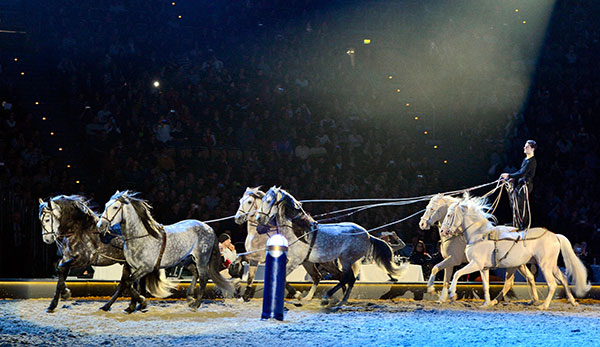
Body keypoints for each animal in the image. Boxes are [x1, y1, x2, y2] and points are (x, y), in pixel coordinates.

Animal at [97, 190, 233, 310]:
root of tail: (209, 228)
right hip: (186, 260)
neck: (141, 237)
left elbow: (128, 283)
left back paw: (196, 304)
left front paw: (141, 302)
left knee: (204, 278)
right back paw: (190, 298)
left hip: (201, 260)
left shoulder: (145, 268)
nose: (100, 226)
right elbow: (125, 285)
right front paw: (113, 306)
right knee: (195, 273)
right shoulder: (131, 267)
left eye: (115, 207)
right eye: (105, 205)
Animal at [255, 186, 406, 306]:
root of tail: (368, 235)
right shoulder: (302, 261)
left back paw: (329, 298)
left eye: (269, 201)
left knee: (346, 278)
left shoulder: (295, 261)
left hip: (346, 259)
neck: (298, 230)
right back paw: (337, 299)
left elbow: (283, 276)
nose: (259, 219)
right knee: (341, 278)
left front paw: (297, 295)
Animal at [440, 196, 592, 310]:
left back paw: (543, 306)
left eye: (449, 215)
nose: (443, 231)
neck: (479, 235)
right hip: (550, 265)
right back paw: (572, 302)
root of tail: (554, 235)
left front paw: (452, 293)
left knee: (552, 284)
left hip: (544, 265)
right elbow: (485, 285)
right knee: (563, 279)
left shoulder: (475, 264)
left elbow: (457, 273)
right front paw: (486, 303)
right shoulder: (483, 268)